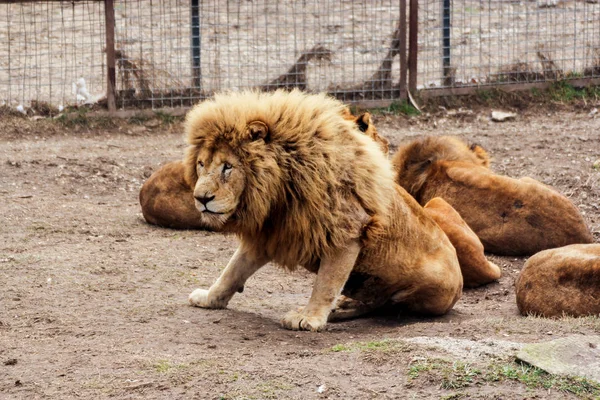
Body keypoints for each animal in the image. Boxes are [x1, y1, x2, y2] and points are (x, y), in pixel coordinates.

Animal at [184, 90, 464, 332]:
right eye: (201, 164)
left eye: (227, 167)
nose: (201, 198)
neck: (278, 190)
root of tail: (459, 282)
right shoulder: (269, 234)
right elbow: (231, 271)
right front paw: (209, 298)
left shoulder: (345, 231)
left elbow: (326, 282)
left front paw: (310, 318)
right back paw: (343, 306)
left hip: (416, 289)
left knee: (383, 305)